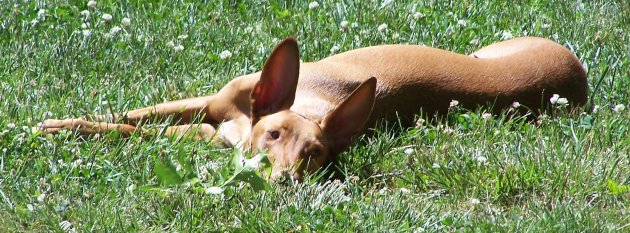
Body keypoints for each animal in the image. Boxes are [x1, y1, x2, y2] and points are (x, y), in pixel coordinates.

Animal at [42, 36, 592, 182]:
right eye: (274, 135)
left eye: (319, 154)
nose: (285, 180)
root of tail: (577, 77)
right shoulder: (209, 102)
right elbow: (134, 116)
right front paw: (57, 123)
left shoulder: (209, 133)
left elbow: (139, 132)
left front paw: (65, 129)